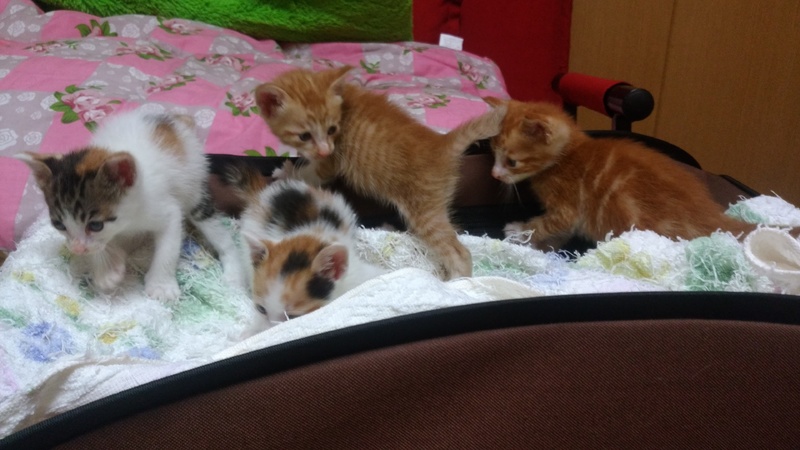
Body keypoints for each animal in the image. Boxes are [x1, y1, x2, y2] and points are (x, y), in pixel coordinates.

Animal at [14, 108, 245, 300]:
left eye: (95, 225)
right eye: (59, 225)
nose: (78, 249)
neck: (131, 215)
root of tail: (174, 118)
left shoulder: (166, 209)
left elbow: (168, 247)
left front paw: (161, 286)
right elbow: (102, 244)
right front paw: (107, 268)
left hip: (195, 189)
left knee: (218, 231)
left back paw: (234, 272)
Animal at [253, 66, 507, 280]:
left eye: (332, 129)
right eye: (304, 135)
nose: (325, 149)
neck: (344, 103)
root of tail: (442, 142)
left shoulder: (330, 163)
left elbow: (310, 173)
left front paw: (286, 174)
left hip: (425, 212)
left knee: (458, 252)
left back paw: (456, 282)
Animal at [482, 97, 760, 250]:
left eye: (512, 162)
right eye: (493, 151)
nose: (494, 174)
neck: (567, 156)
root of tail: (716, 219)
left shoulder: (569, 206)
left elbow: (546, 224)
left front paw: (519, 231)